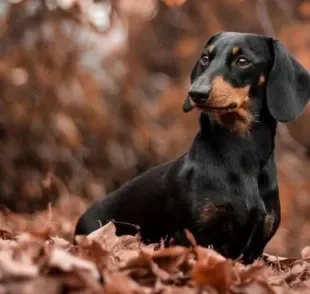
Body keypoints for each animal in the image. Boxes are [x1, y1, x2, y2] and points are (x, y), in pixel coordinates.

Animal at [74, 31, 310, 264]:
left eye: (242, 61)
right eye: (205, 58)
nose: (196, 92)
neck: (241, 158)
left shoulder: (255, 247)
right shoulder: (193, 235)